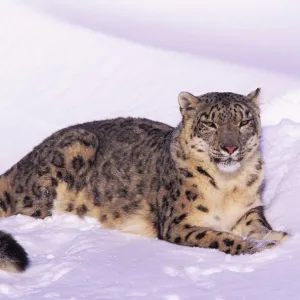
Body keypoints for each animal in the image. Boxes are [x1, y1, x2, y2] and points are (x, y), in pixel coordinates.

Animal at [0, 88, 288, 272]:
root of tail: (24, 159)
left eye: (244, 121)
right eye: (209, 123)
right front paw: (261, 246)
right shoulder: (180, 223)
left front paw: (278, 236)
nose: (230, 147)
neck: (228, 186)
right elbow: (221, 238)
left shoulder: (249, 210)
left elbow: (258, 226)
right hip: (71, 152)